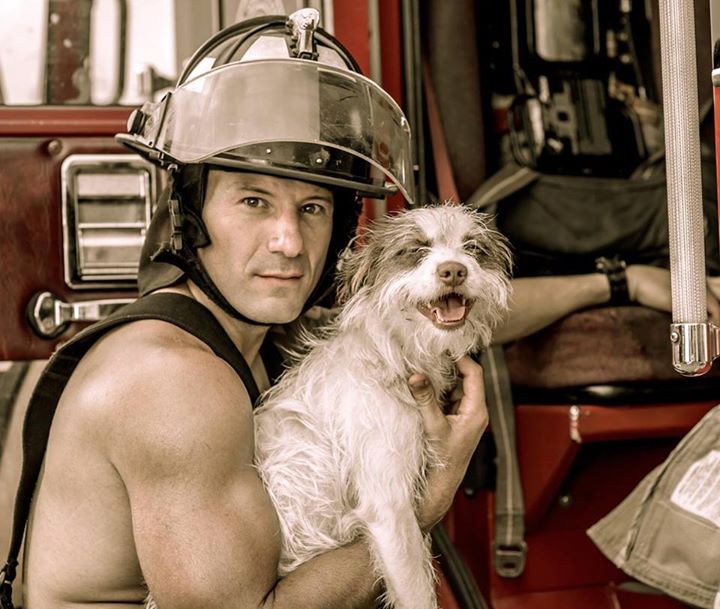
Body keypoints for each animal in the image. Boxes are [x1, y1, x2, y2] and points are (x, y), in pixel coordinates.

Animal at [253, 204, 512, 608]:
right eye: (416, 250)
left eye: (472, 247)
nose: (454, 270)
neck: (395, 355)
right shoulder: (389, 510)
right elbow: (416, 591)